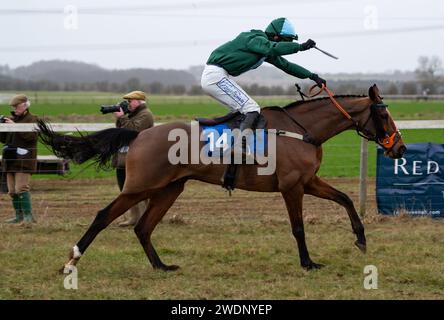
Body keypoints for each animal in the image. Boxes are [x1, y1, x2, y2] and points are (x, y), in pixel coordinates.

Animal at [38, 84, 406, 272]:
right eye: (385, 114)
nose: (400, 147)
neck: (303, 130)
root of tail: (138, 135)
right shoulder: (291, 187)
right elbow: (298, 227)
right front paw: (307, 262)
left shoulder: (308, 182)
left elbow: (345, 199)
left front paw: (361, 239)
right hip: (141, 186)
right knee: (104, 216)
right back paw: (71, 261)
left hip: (170, 188)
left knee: (143, 227)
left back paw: (162, 266)